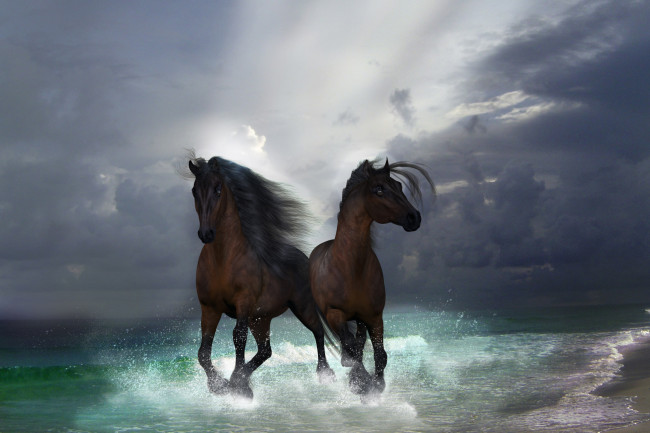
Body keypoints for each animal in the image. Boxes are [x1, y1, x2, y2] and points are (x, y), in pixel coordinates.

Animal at [184, 154, 335, 399]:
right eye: (194, 190)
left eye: (218, 189)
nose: (206, 234)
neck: (223, 259)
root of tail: (304, 258)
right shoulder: (209, 308)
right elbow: (203, 352)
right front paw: (220, 384)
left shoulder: (243, 303)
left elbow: (238, 337)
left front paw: (238, 387)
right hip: (260, 318)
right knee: (266, 350)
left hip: (301, 306)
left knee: (318, 331)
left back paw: (325, 374)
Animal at [309, 158, 434, 396]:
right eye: (379, 189)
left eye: (399, 186)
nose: (414, 217)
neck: (351, 268)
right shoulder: (334, 313)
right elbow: (350, 346)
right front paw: (362, 383)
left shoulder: (374, 316)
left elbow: (379, 354)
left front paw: (376, 385)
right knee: (324, 336)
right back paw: (326, 373)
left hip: (361, 318)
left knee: (358, 340)